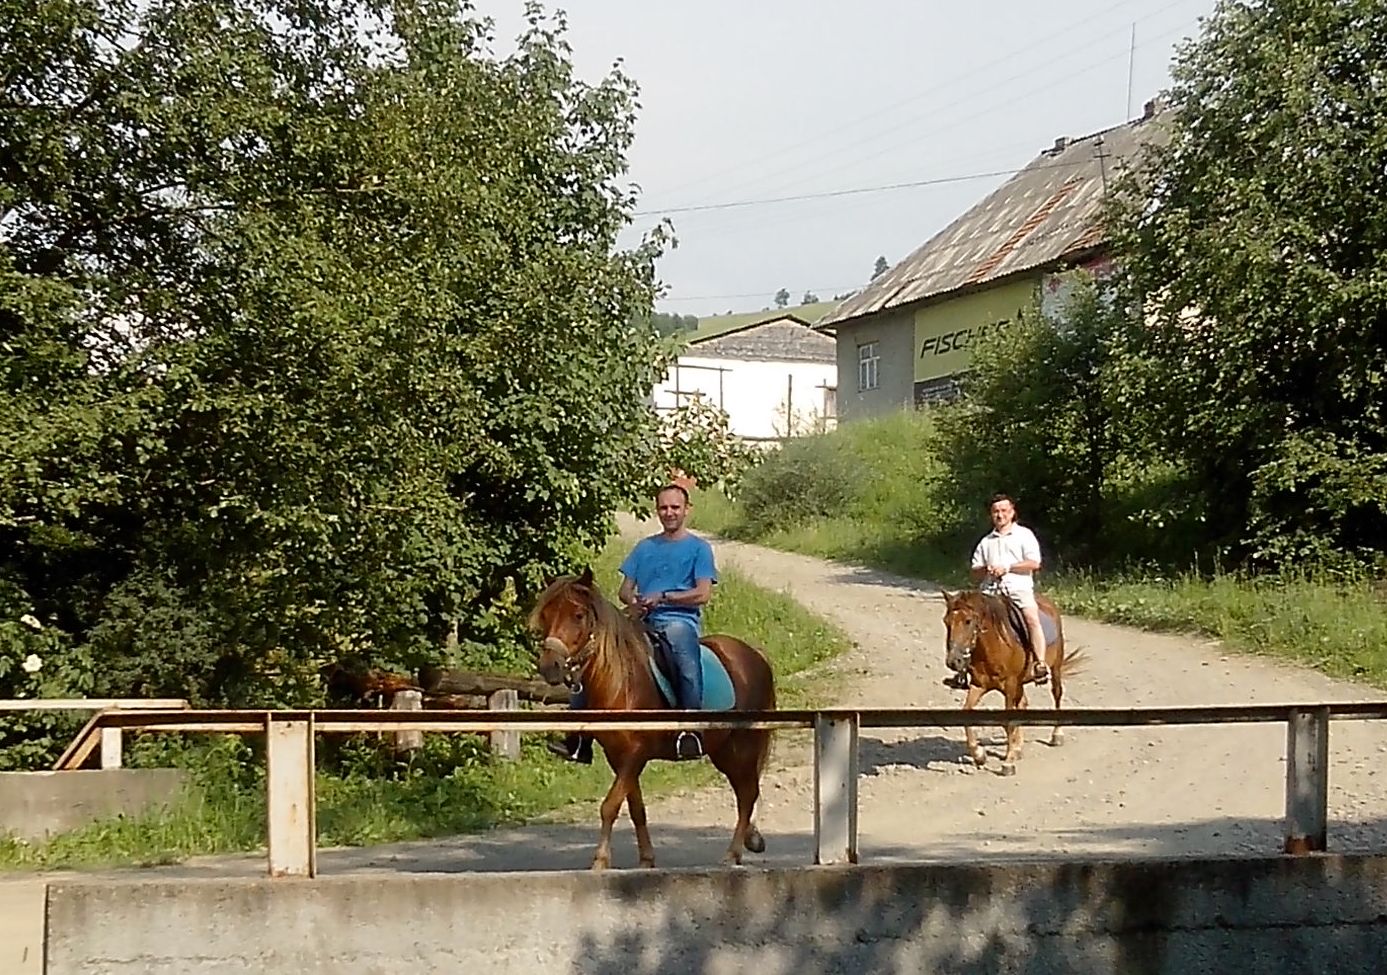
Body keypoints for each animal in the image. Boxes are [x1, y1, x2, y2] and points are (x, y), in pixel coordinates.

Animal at [529, 567, 777, 870]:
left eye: (578, 615)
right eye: (546, 615)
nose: (549, 667)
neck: (621, 682)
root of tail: (755, 655)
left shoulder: (636, 754)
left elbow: (609, 805)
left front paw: (600, 860)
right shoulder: (618, 757)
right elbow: (635, 808)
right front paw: (646, 859)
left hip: (743, 746)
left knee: (747, 795)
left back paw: (731, 855)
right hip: (724, 750)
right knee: (746, 793)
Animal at [940, 589, 1085, 773]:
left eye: (968, 621)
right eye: (946, 622)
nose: (953, 661)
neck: (994, 645)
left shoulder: (1009, 684)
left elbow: (1008, 722)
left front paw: (1008, 763)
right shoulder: (979, 685)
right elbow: (967, 713)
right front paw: (979, 755)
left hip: (1055, 668)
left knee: (1057, 694)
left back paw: (1056, 735)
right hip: (1020, 683)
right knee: (1023, 703)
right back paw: (1018, 748)